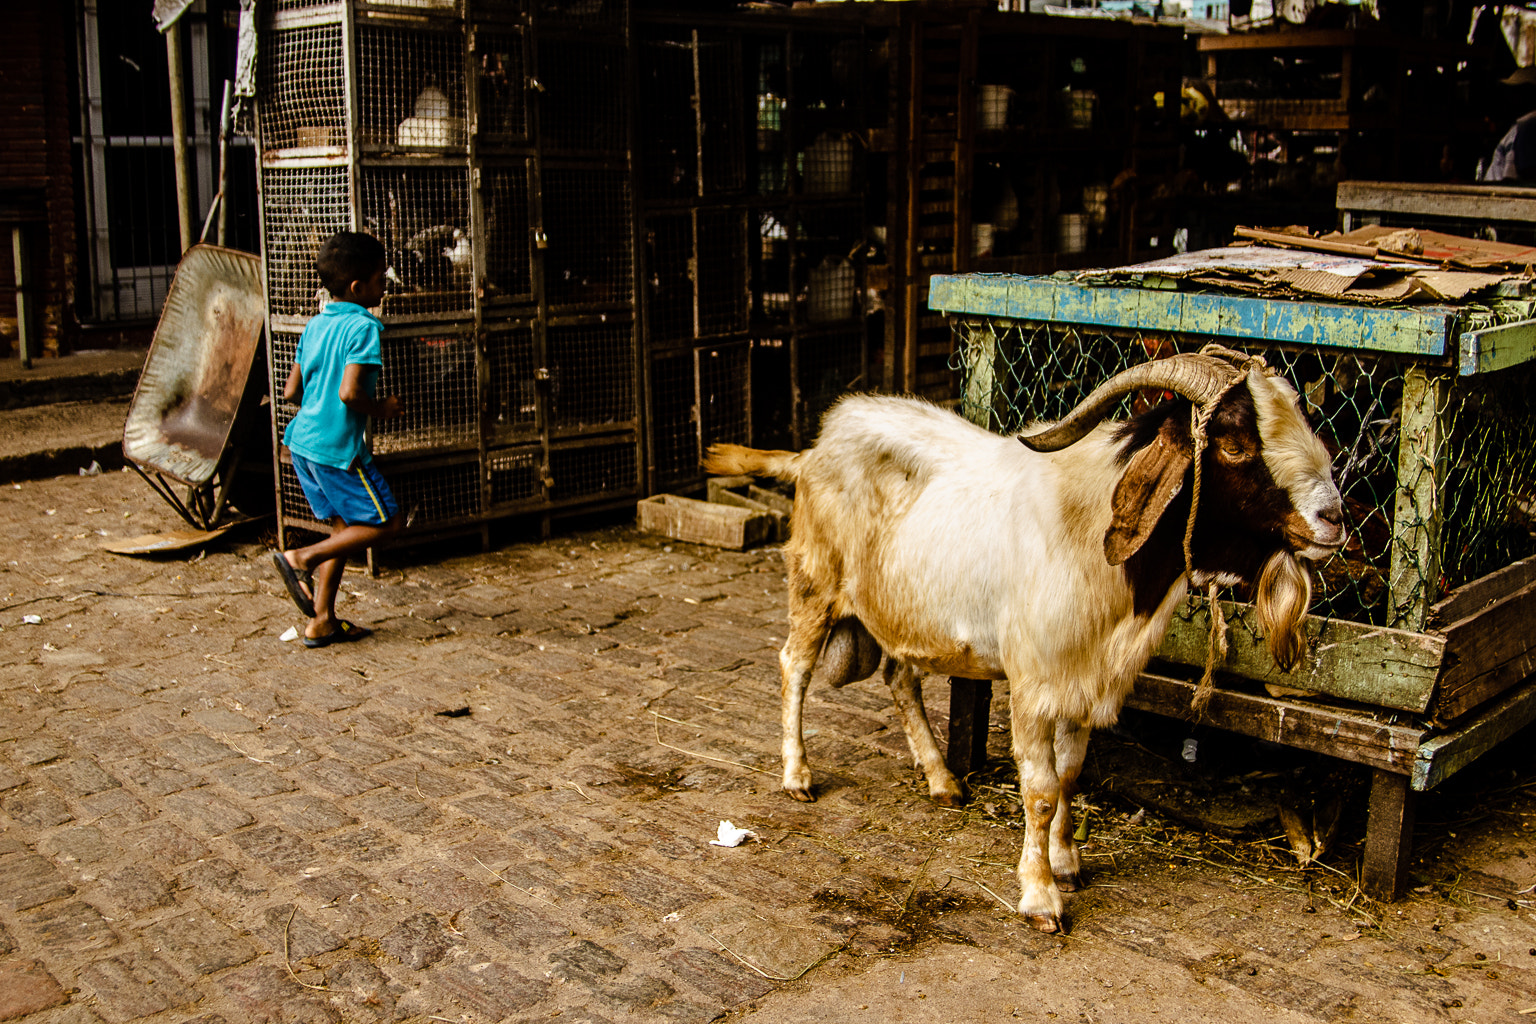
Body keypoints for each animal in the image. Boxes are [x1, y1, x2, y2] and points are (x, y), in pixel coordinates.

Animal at [703, 353, 1339, 939]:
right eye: (1233, 443)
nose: (1334, 518)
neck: (1090, 529)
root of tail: (811, 451)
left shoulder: (1084, 678)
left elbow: (1071, 775)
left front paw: (1067, 863)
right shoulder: (1034, 682)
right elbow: (1040, 789)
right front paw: (1040, 896)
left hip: (905, 609)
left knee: (899, 678)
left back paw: (942, 780)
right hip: (815, 582)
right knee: (794, 666)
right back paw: (798, 776)